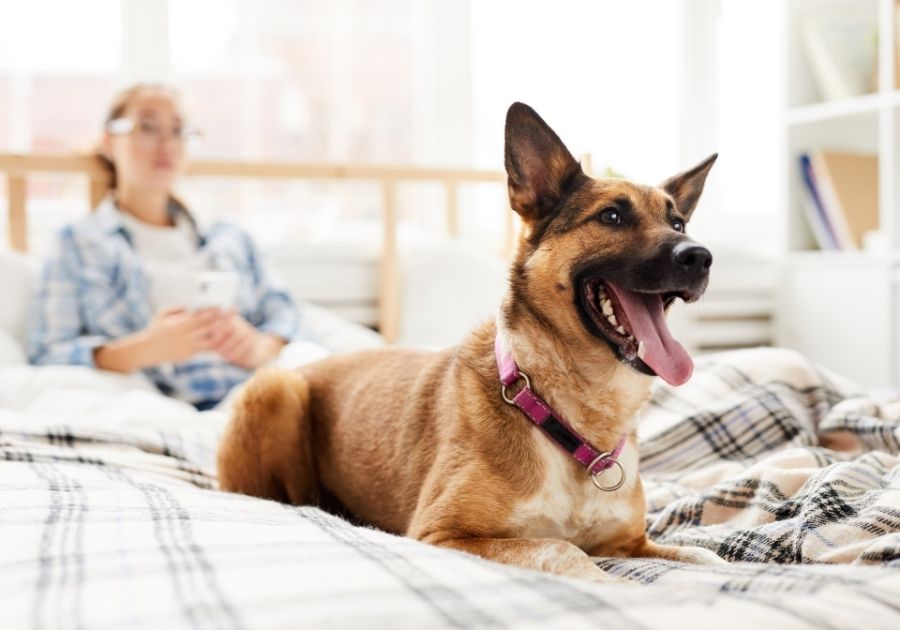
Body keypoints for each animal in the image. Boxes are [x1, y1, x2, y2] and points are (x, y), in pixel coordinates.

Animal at [218, 102, 724, 584]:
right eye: (612, 216)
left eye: (679, 224)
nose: (701, 257)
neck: (569, 418)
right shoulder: (441, 534)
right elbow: (564, 549)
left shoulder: (631, 543)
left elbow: (704, 555)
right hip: (276, 389)